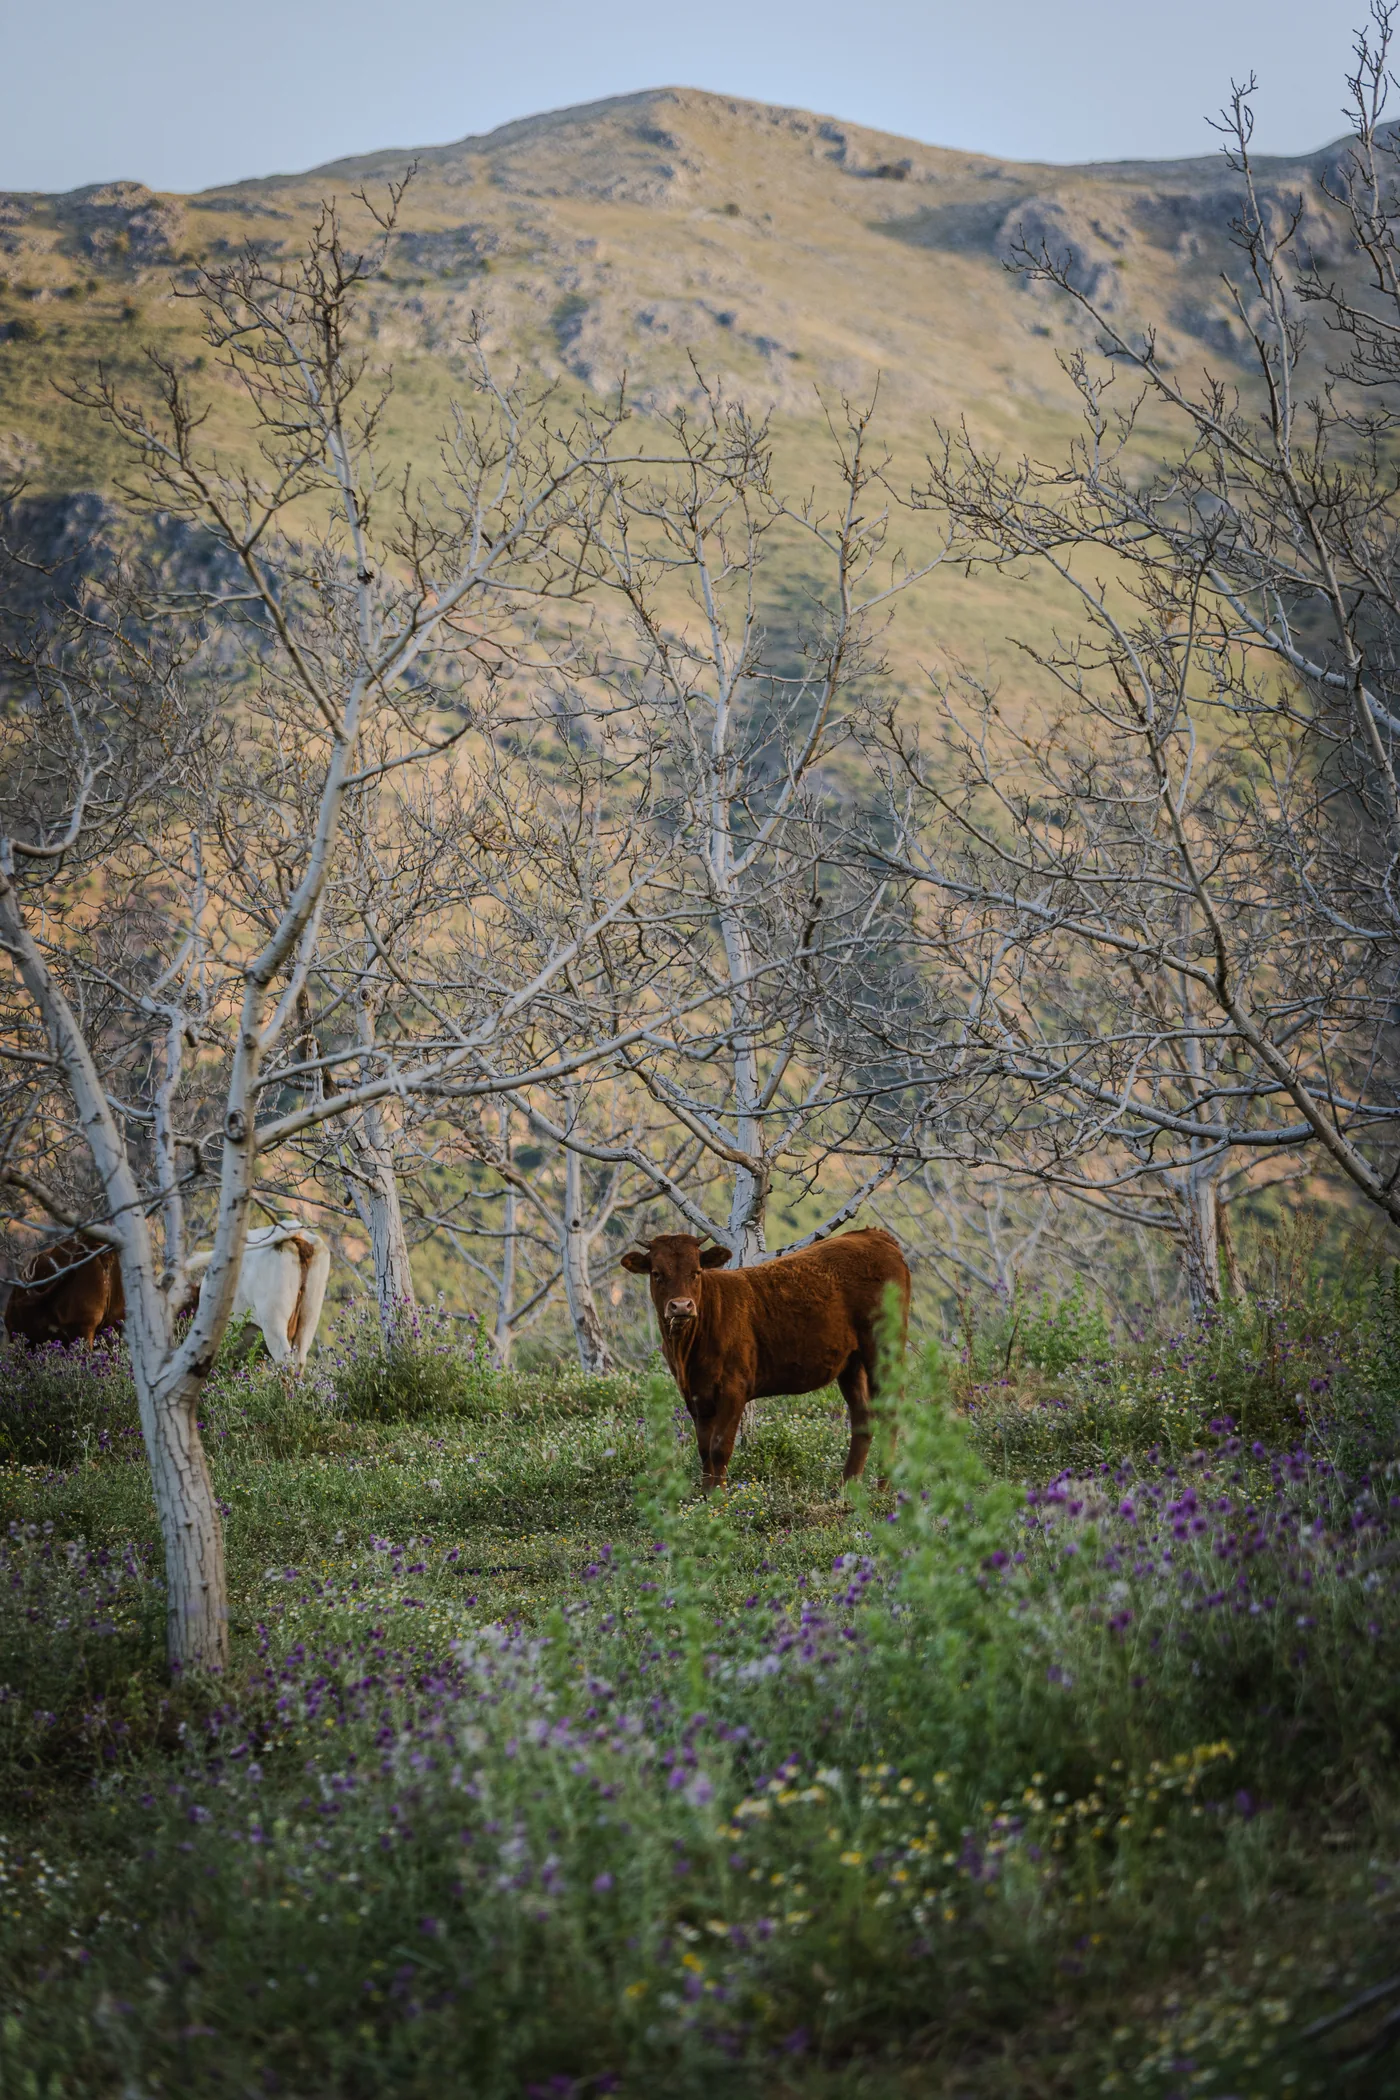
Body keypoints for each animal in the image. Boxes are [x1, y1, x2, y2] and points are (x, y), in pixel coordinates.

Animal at [621, 1227, 911, 1491]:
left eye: (696, 1272)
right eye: (657, 1274)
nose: (681, 1306)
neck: (687, 1351)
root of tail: (872, 1234)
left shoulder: (734, 1388)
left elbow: (719, 1447)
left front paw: (718, 1500)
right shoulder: (694, 1393)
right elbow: (703, 1449)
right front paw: (704, 1498)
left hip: (884, 1346)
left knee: (891, 1411)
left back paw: (882, 1487)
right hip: (851, 1362)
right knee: (863, 1417)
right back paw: (846, 1487)